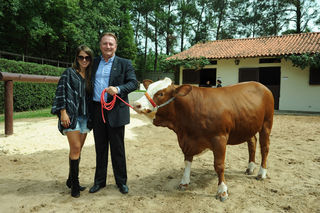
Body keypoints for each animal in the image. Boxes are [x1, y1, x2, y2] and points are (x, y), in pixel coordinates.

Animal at [132, 77, 272, 201]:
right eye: (147, 89)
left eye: (161, 93)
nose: (136, 104)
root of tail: (260, 85)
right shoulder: (187, 141)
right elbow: (187, 161)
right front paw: (184, 182)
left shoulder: (219, 138)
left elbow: (219, 165)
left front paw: (222, 191)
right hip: (249, 125)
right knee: (252, 142)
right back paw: (250, 168)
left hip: (266, 123)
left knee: (265, 148)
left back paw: (261, 173)